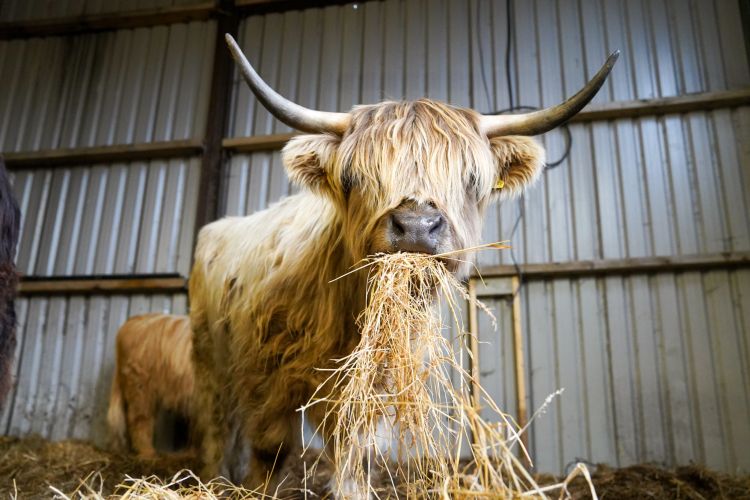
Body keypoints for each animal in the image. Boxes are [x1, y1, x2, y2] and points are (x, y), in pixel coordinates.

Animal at [189, 34, 618, 490]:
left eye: (472, 180)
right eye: (352, 178)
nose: (415, 226)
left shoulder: (373, 388)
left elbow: (356, 456)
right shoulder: (265, 377)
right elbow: (271, 452)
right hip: (210, 357)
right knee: (217, 424)